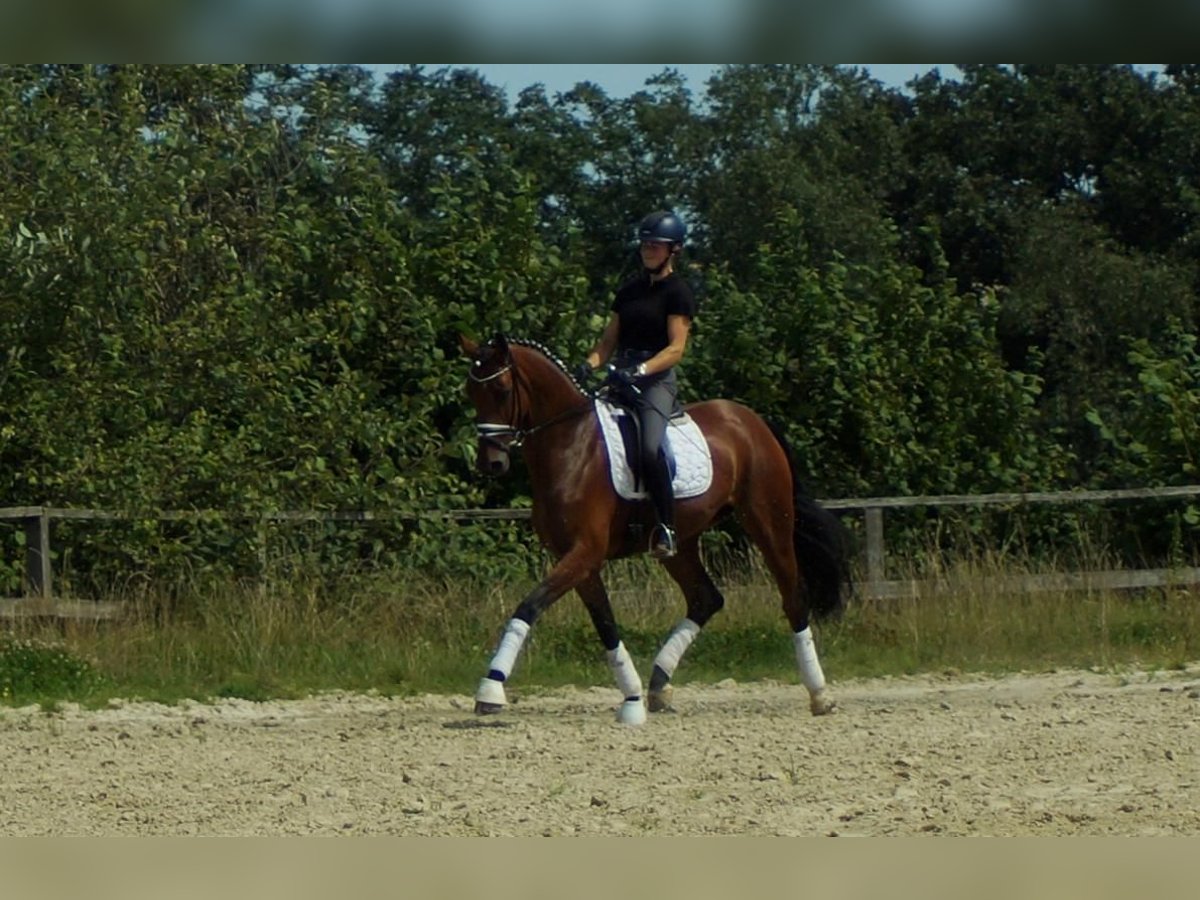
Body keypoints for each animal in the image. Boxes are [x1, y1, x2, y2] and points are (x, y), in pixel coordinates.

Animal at [456, 336, 844, 729]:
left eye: (502, 391)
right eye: (471, 392)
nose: (491, 463)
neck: (570, 446)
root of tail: (752, 421)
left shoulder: (584, 552)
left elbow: (530, 605)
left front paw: (490, 690)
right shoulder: (578, 560)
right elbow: (605, 624)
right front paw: (632, 699)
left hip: (768, 521)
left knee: (793, 597)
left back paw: (819, 694)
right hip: (681, 542)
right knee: (706, 598)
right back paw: (659, 684)